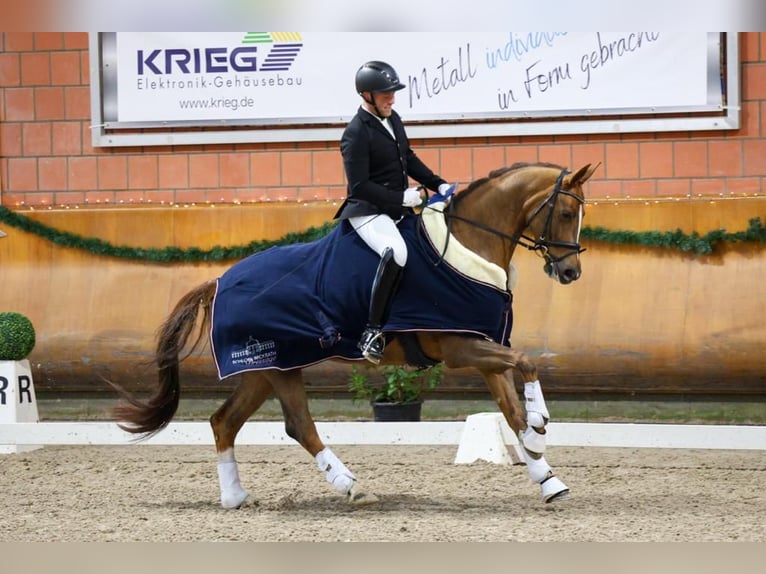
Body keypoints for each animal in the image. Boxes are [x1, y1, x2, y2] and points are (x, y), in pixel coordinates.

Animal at [111, 161, 600, 508]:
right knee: (298, 425)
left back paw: (235, 498)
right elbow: (527, 365)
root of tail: (219, 280)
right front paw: (540, 424)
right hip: (278, 364)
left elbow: (511, 409)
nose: (571, 272)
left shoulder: (484, 347)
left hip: (266, 367)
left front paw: (547, 476)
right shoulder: (461, 347)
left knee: (224, 421)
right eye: (565, 212)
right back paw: (350, 486)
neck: (466, 245)